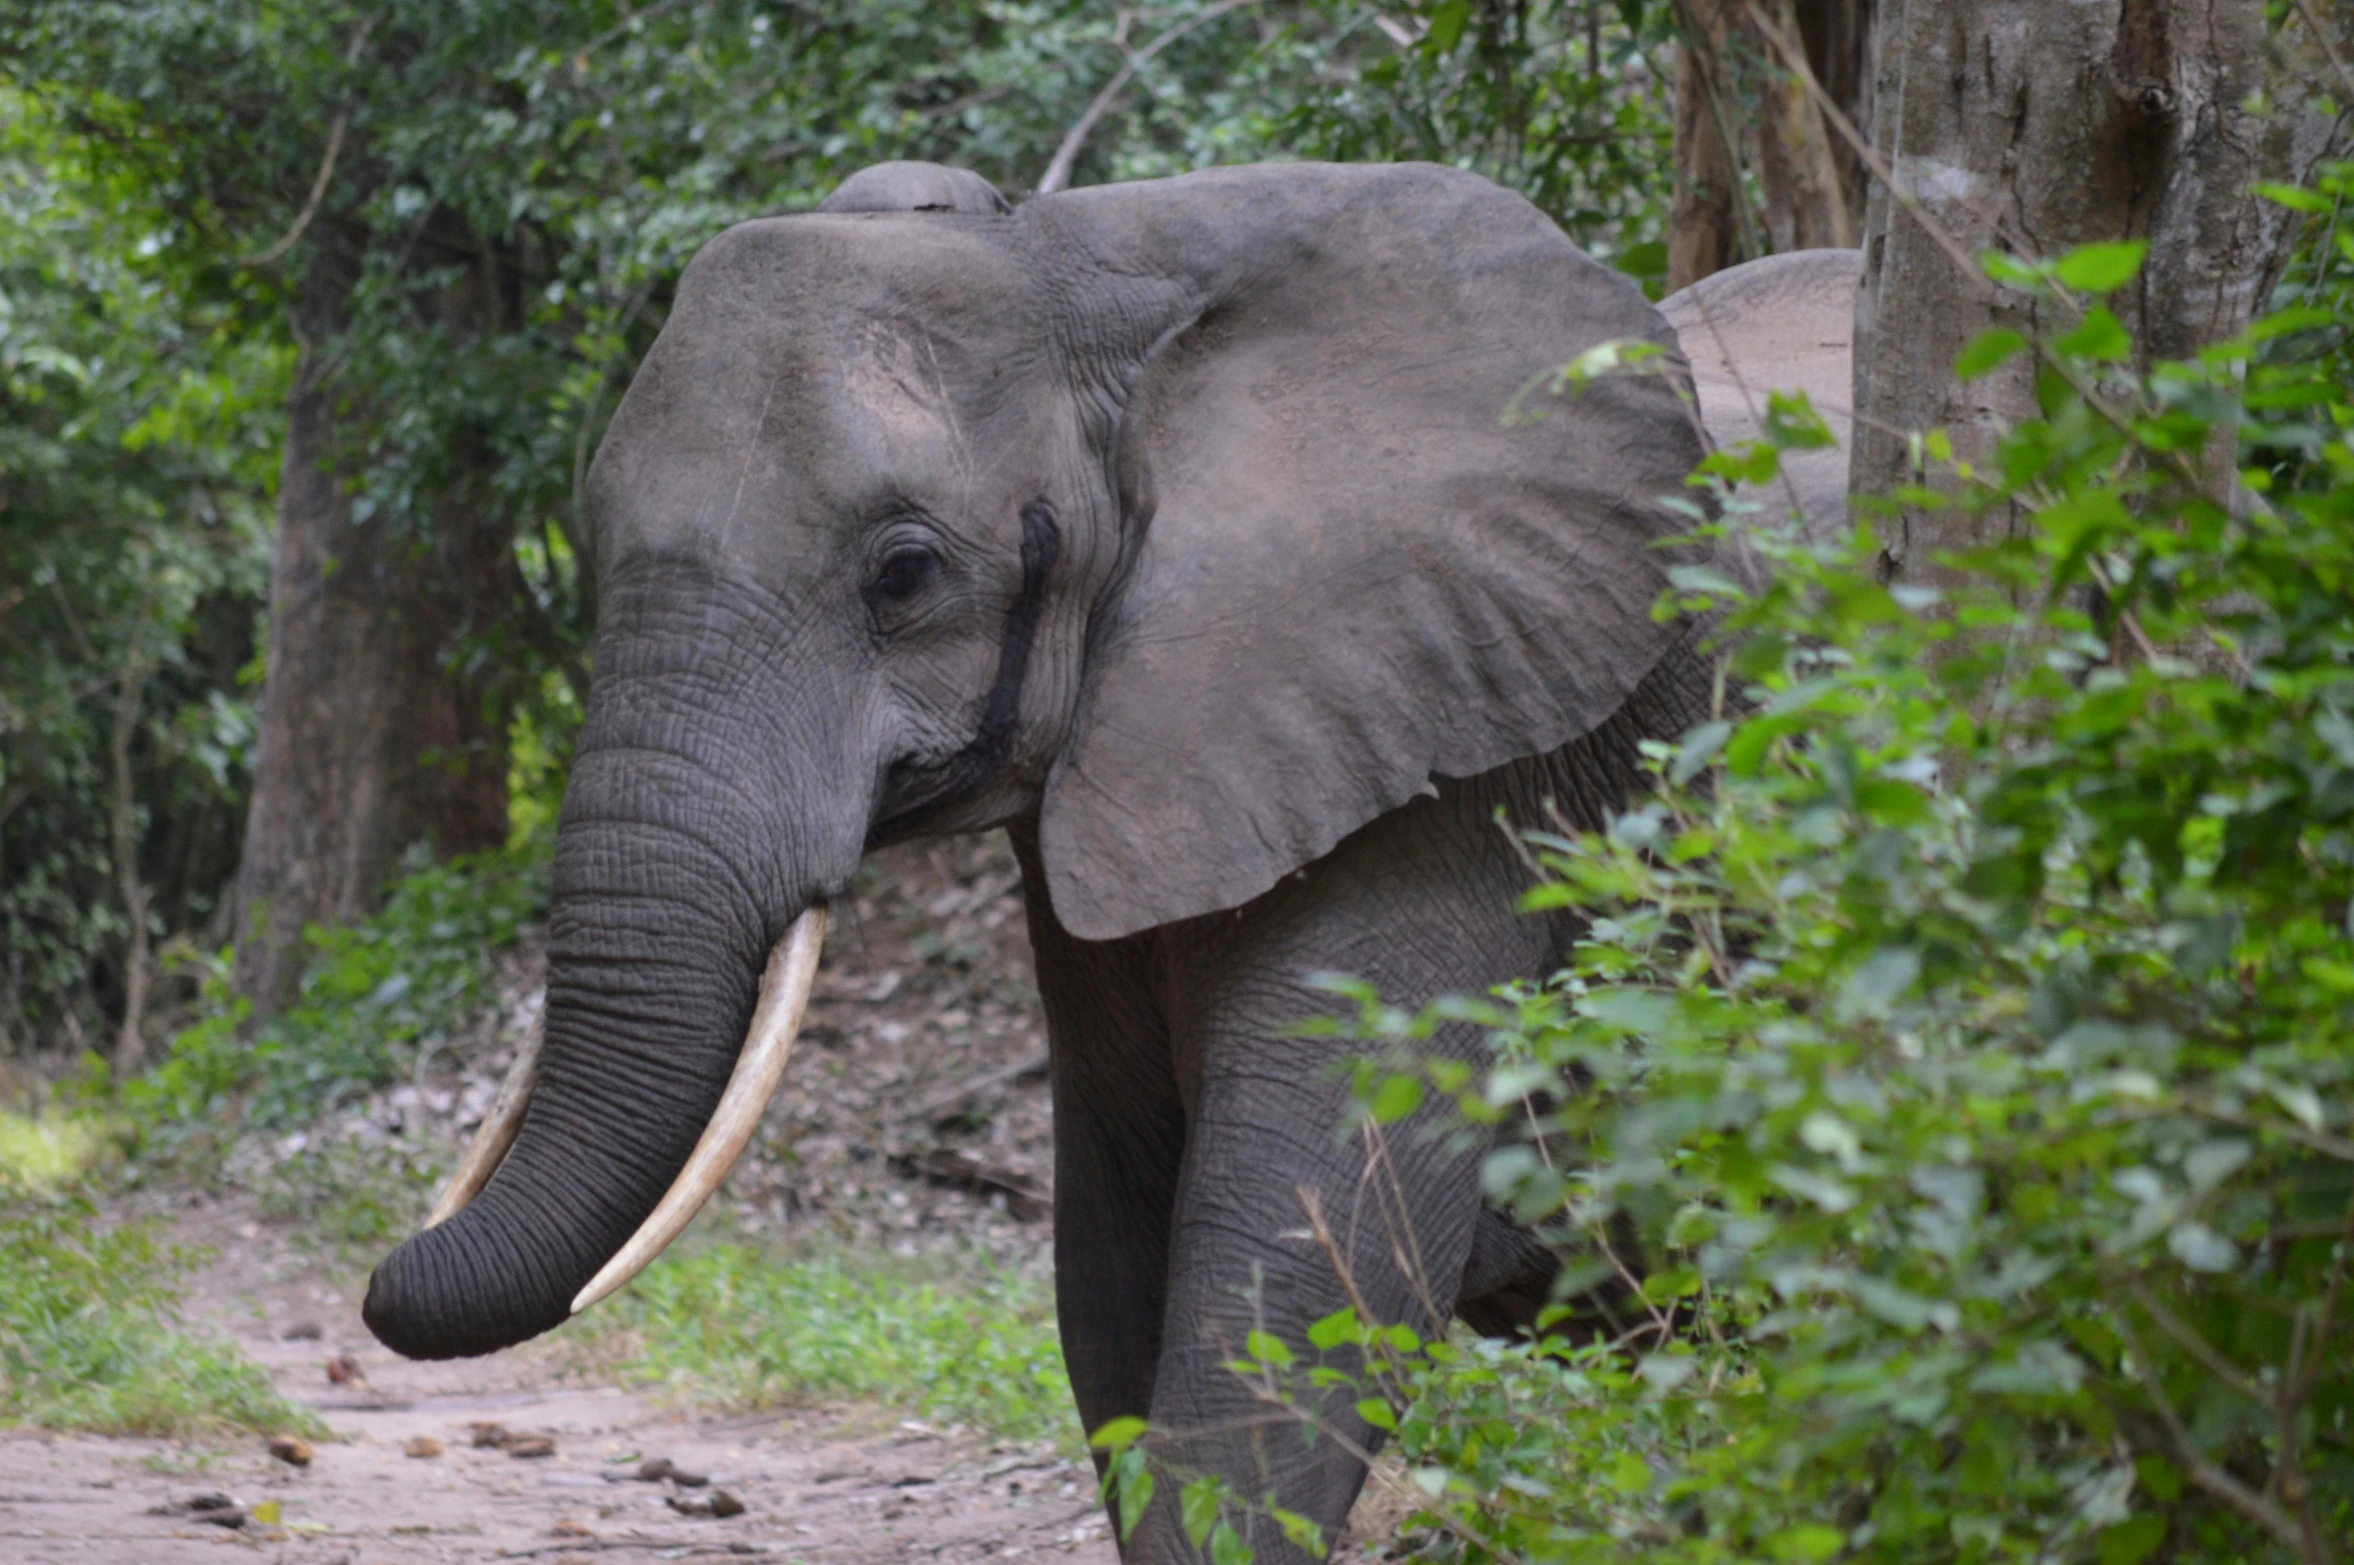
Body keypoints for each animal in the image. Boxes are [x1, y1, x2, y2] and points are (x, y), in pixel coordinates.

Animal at [371, 161, 1854, 1562]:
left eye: (904, 573)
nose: (383, 1269)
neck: (1089, 262)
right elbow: (1113, 1251)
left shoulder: (1462, 750)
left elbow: (1296, 1262)